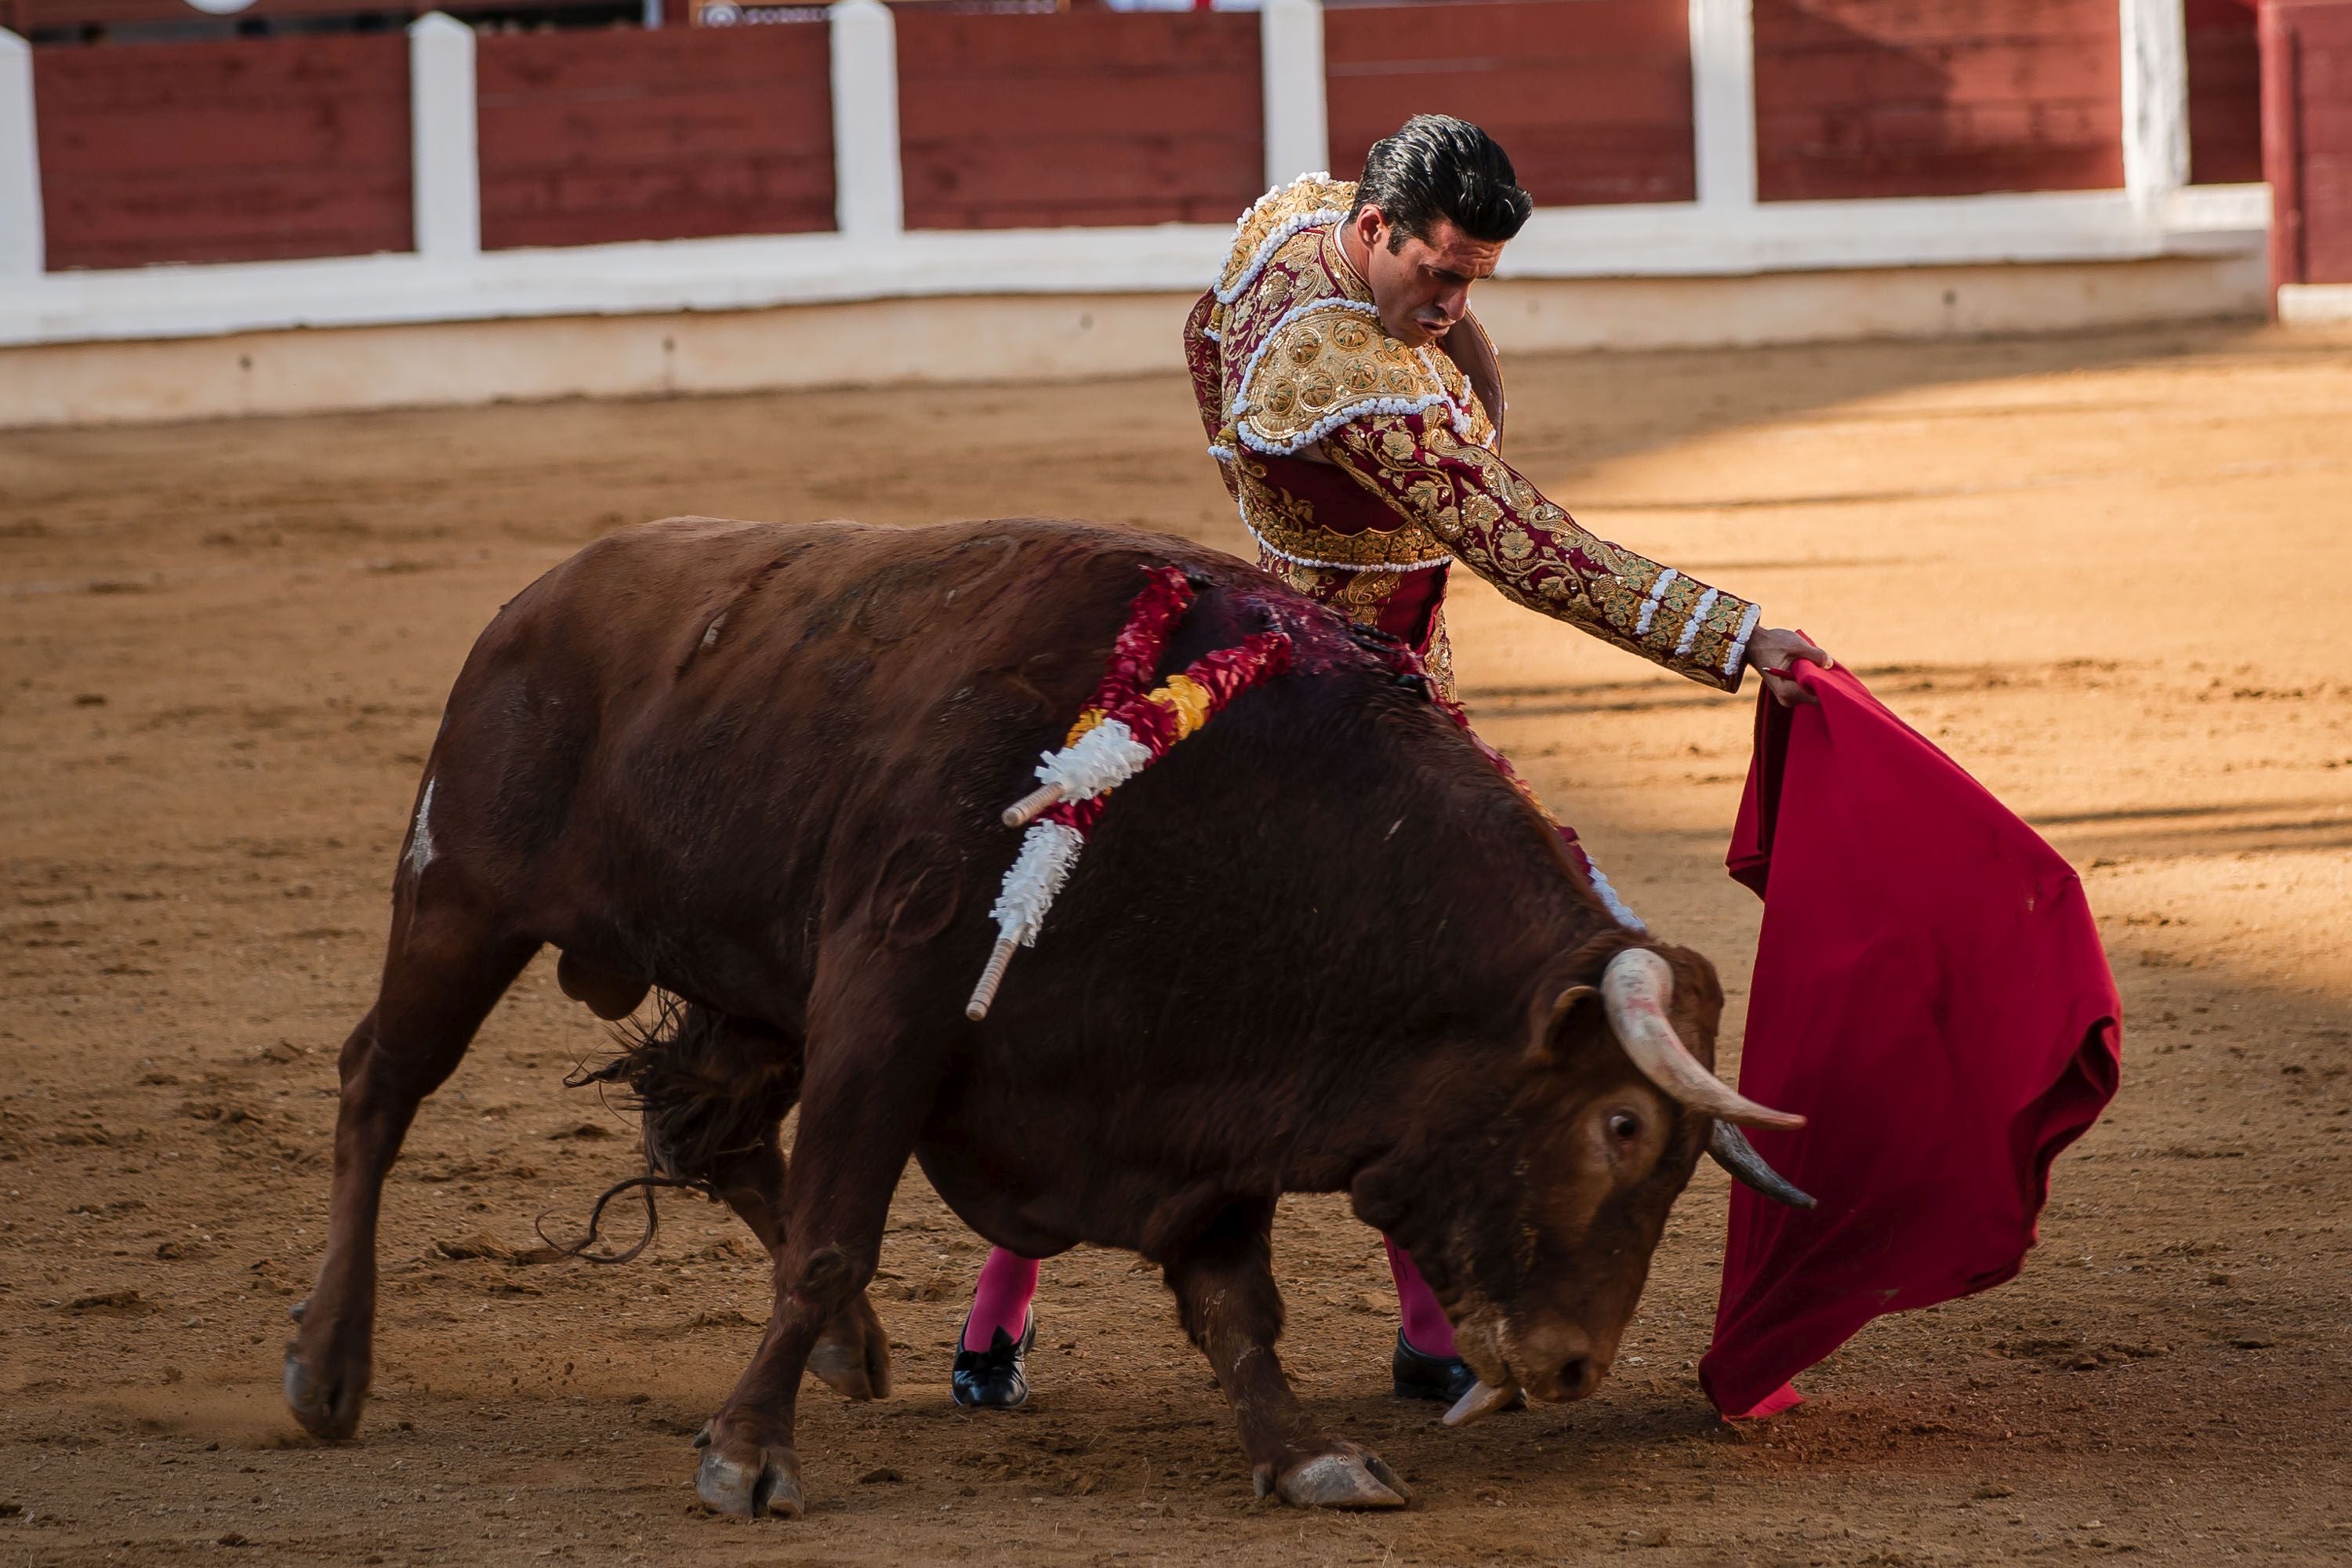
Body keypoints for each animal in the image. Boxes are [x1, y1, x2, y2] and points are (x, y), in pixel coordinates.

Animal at [285, 521, 1806, 1514]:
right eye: (1622, 1124)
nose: (1572, 1365)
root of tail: (544, 590)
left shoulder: (1209, 1096)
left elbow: (1238, 1300)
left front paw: (1308, 1457)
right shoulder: (887, 1012)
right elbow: (835, 1236)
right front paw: (746, 1457)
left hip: (746, 979)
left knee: (709, 1129)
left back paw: (850, 1353)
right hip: (461, 896)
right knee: (379, 1085)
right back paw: (325, 1367)